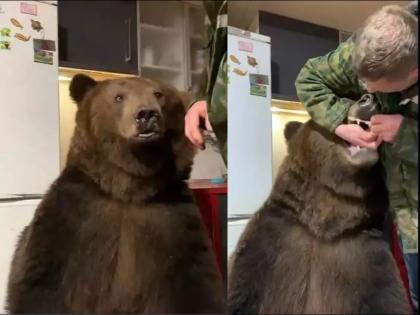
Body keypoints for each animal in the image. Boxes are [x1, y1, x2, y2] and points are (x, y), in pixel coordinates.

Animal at [5, 74, 226, 314]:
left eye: (159, 94)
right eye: (118, 97)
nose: (147, 114)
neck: (128, 188)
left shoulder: (175, 223)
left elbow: (196, 289)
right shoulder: (71, 218)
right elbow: (42, 283)